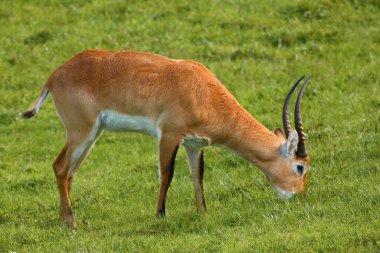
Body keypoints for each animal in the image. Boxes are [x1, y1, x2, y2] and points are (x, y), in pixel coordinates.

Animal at [22, 49, 310, 227]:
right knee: (60, 167)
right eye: (300, 166)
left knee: (70, 172)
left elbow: (197, 174)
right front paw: (160, 214)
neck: (204, 92)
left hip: (92, 135)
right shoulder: (169, 135)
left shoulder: (193, 144)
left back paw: (65, 219)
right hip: (81, 132)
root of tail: (54, 75)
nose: (299, 195)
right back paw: (71, 222)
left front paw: (202, 210)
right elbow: (167, 173)